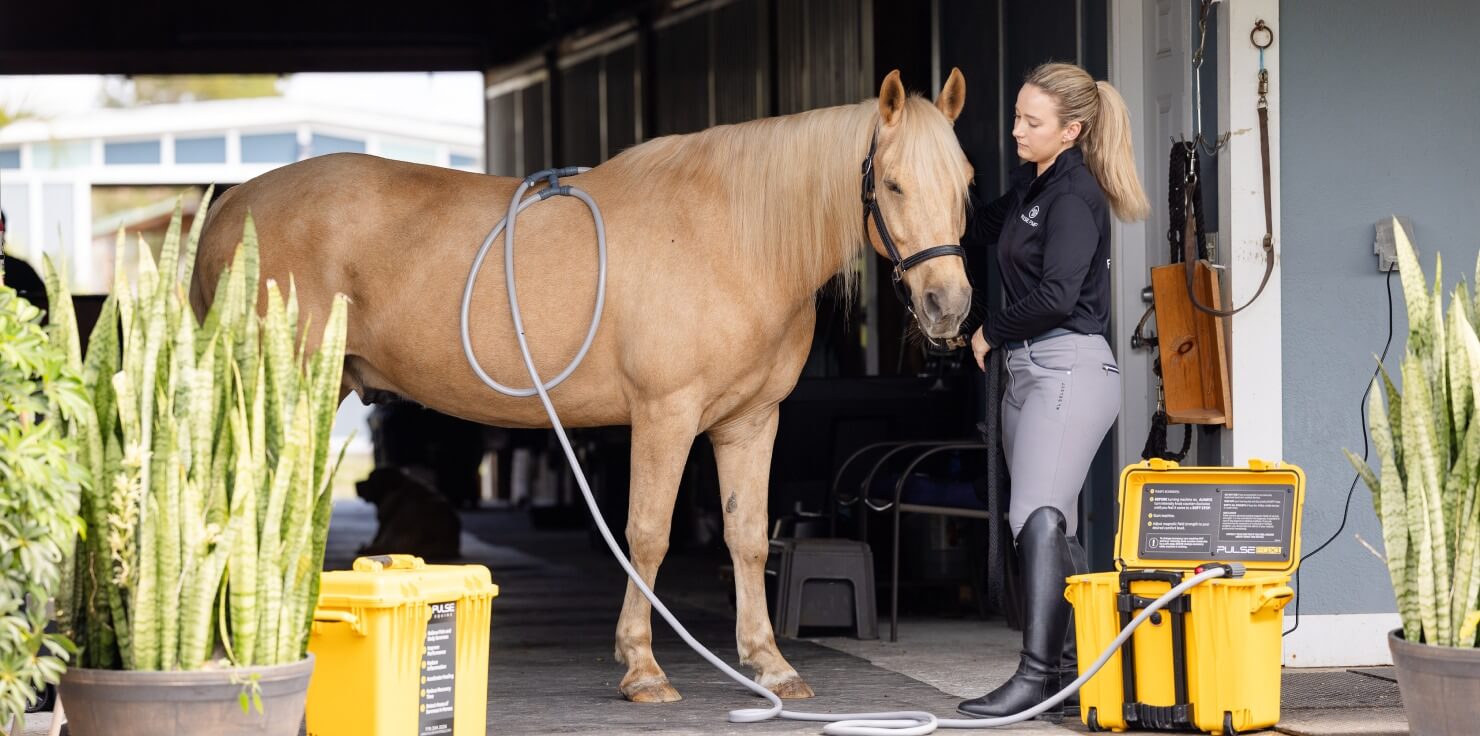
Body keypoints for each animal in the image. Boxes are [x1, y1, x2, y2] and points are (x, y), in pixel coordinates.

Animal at [191, 68, 975, 703]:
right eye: (894, 184)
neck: (733, 236)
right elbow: (648, 536)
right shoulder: (665, 416)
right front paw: (644, 670)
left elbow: (749, 537)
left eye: (966, 183)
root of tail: (228, 207)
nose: (949, 306)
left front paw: (770, 666)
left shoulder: (751, 421)